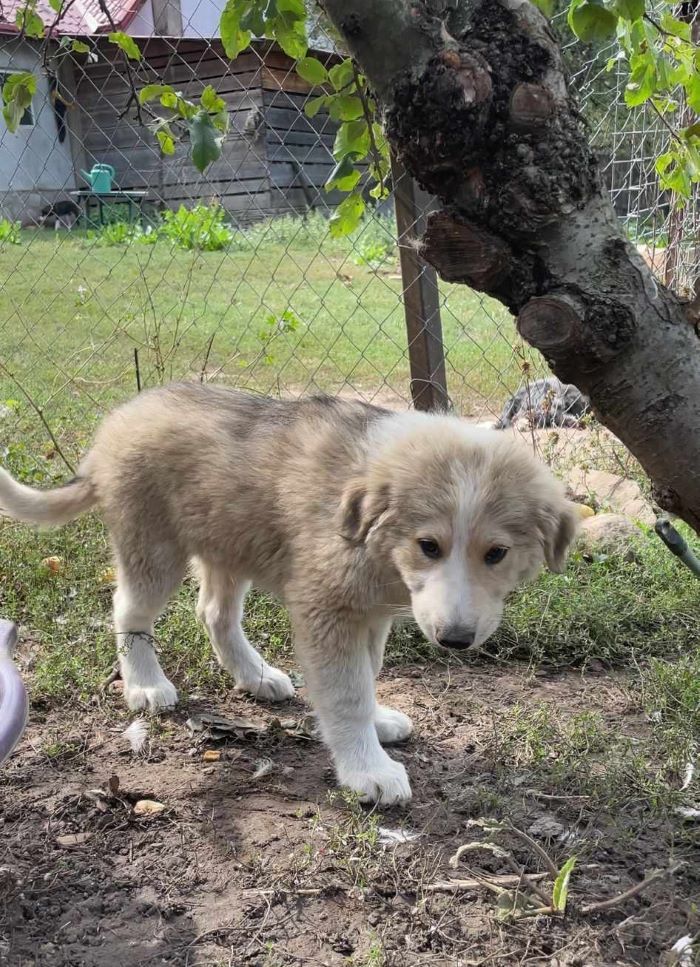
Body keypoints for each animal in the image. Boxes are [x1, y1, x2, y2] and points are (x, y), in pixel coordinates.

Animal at [0, 384, 576, 800]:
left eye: (496, 554)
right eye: (428, 546)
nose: (456, 640)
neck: (373, 542)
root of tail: (114, 425)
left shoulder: (371, 612)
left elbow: (367, 675)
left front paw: (378, 722)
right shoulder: (329, 608)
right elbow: (346, 693)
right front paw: (368, 769)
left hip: (230, 545)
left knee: (214, 613)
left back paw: (256, 676)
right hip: (153, 547)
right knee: (129, 610)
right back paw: (145, 685)